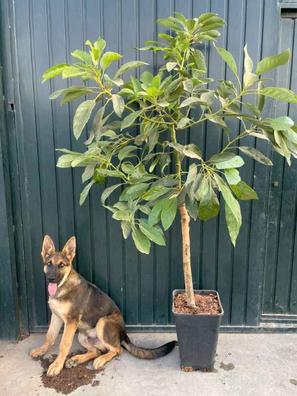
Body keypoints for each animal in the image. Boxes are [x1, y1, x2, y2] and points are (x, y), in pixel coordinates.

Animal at [29, 237, 176, 376]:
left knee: (117, 349)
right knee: (97, 351)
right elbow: (49, 336)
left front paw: (57, 365)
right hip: (82, 335)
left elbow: (64, 344)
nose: (51, 279)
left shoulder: (71, 321)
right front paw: (41, 350)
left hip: (102, 322)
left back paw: (100, 359)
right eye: (49, 264)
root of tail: (123, 335)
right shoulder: (56, 317)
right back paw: (76, 359)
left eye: (61, 265)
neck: (63, 285)